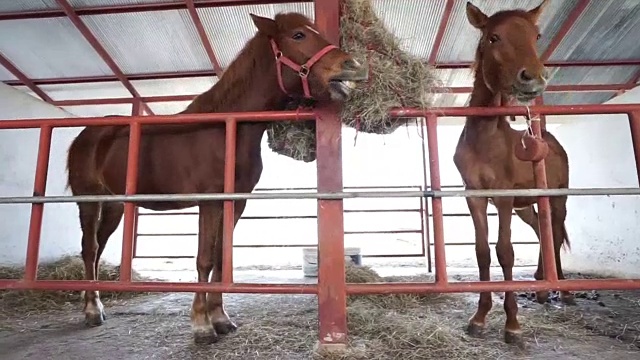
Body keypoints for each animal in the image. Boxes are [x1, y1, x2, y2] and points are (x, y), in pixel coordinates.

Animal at [65, 11, 368, 344]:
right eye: (299, 35)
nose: (353, 65)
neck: (226, 129)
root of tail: (86, 136)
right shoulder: (209, 202)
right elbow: (205, 259)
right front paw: (202, 325)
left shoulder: (235, 204)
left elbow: (222, 257)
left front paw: (221, 318)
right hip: (88, 200)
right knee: (90, 248)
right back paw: (92, 310)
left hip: (115, 206)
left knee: (97, 248)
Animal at [452, 0, 572, 346]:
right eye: (493, 37)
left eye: (536, 35)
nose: (533, 78)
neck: (484, 139)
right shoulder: (475, 197)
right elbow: (482, 252)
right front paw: (479, 318)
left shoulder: (503, 197)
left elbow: (505, 252)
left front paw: (512, 324)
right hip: (526, 207)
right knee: (543, 233)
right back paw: (542, 287)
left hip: (557, 200)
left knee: (555, 232)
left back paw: (564, 290)